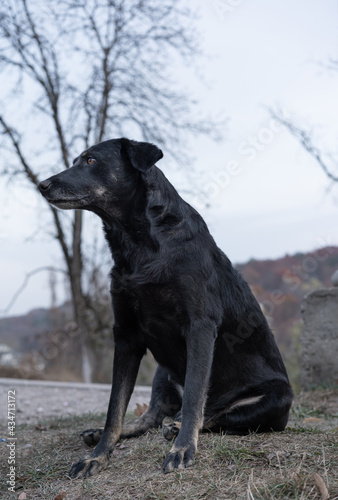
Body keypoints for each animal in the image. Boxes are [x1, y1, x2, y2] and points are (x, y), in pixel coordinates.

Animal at [39, 137, 294, 476]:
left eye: (91, 161)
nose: (42, 185)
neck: (139, 244)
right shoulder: (126, 335)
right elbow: (114, 409)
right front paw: (98, 454)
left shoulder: (200, 327)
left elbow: (195, 397)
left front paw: (183, 448)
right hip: (163, 371)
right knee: (151, 417)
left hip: (276, 398)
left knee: (212, 417)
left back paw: (176, 428)